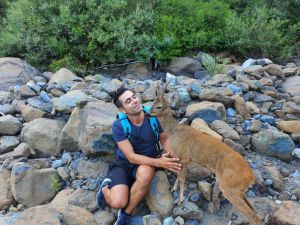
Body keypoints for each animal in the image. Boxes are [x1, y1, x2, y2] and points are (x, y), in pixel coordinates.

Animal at [151, 84, 262, 225]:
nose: (147, 112)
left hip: (230, 188)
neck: (174, 131)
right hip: (239, 191)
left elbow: (182, 178)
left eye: (159, 106)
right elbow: (178, 175)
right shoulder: (180, 158)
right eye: (153, 102)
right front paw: (173, 190)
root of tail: (251, 177)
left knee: (253, 216)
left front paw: (180, 201)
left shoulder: (185, 157)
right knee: (254, 212)